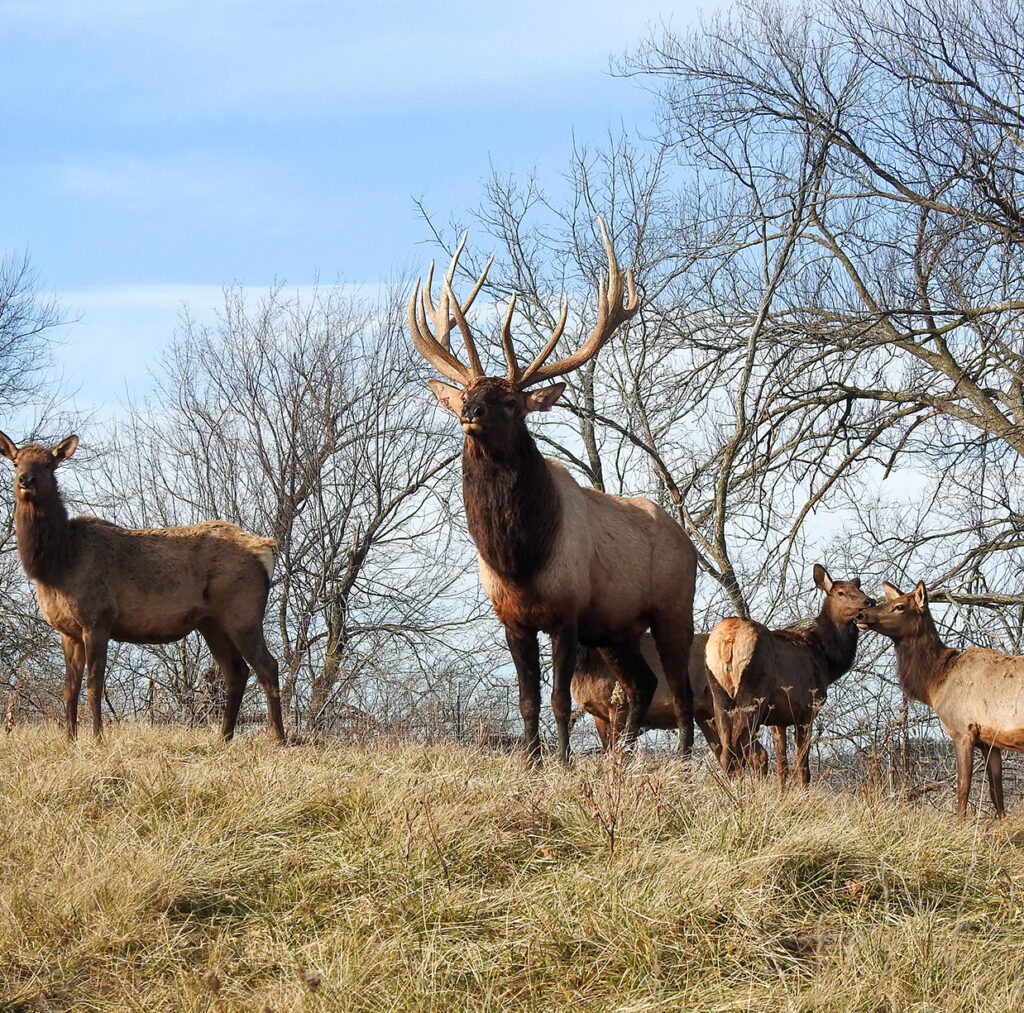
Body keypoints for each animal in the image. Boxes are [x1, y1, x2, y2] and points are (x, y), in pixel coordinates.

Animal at [0, 431, 286, 743]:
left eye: (50, 465)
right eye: (15, 462)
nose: (26, 480)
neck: (56, 565)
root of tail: (266, 550)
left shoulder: (98, 619)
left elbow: (94, 684)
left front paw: (97, 739)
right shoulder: (67, 631)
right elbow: (69, 688)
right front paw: (69, 740)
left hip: (242, 613)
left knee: (267, 665)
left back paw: (278, 738)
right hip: (211, 622)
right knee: (236, 671)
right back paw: (224, 737)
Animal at [408, 219, 698, 764]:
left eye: (510, 402)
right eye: (470, 392)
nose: (469, 412)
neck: (520, 560)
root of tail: (688, 542)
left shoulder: (568, 611)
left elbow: (562, 699)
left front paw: (561, 761)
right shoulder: (513, 618)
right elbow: (527, 700)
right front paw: (530, 761)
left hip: (674, 605)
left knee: (681, 688)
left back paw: (684, 763)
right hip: (617, 627)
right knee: (642, 684)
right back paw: (622, 758)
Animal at [704, 565, 874, 785]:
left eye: (858, 589)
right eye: (840, 592)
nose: (870, 601)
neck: (827, 661)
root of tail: (729, 640)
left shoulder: (778, 719)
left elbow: (782, 765)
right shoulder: (808, 708)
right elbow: (803, 765)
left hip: (719, 694)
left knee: (727, 751)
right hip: (752, 695)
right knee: (740, 747)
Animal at [856, 581, 1024, 819]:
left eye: (900, 606)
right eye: (889, 601)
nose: (860, 614)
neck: (935, 683)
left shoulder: (962, 730)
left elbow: (963, 787)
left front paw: (960, 824)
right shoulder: (989, 740)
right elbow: (996, 793)